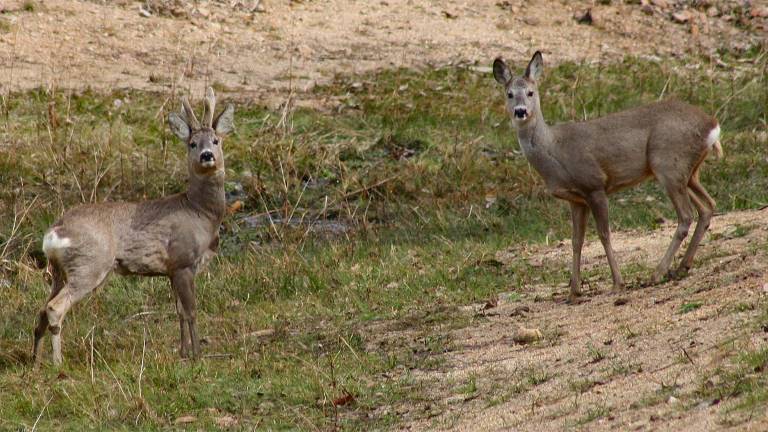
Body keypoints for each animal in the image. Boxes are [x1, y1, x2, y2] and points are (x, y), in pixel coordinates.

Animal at [31, 88, 234, 364]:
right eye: (192, 144)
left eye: (216, 140)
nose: (207, 156)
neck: (200, 212)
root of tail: (54, 233)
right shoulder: (183, 261)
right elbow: (191, 311)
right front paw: (197, 356)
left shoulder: (171, 270)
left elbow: (179, 312)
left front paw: (183, 353)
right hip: (89, 264)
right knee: (54, 308)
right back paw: (57, 362)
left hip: (59, 271)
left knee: (42, 309)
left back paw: (35, 361)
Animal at [496, 50, 724, 298]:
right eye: (509, 94)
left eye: (531, 92)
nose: (520, 111)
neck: (555, 150)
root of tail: (712, 125)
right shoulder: (576, 199)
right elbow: (576, 241)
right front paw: (574, 292)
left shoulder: (594, 185)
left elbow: (604, 234)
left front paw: (617, 283)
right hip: (688, 172)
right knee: (707, 206)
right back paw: (681, 267)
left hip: (667, 163)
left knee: (686, 215)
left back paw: (656, 274)